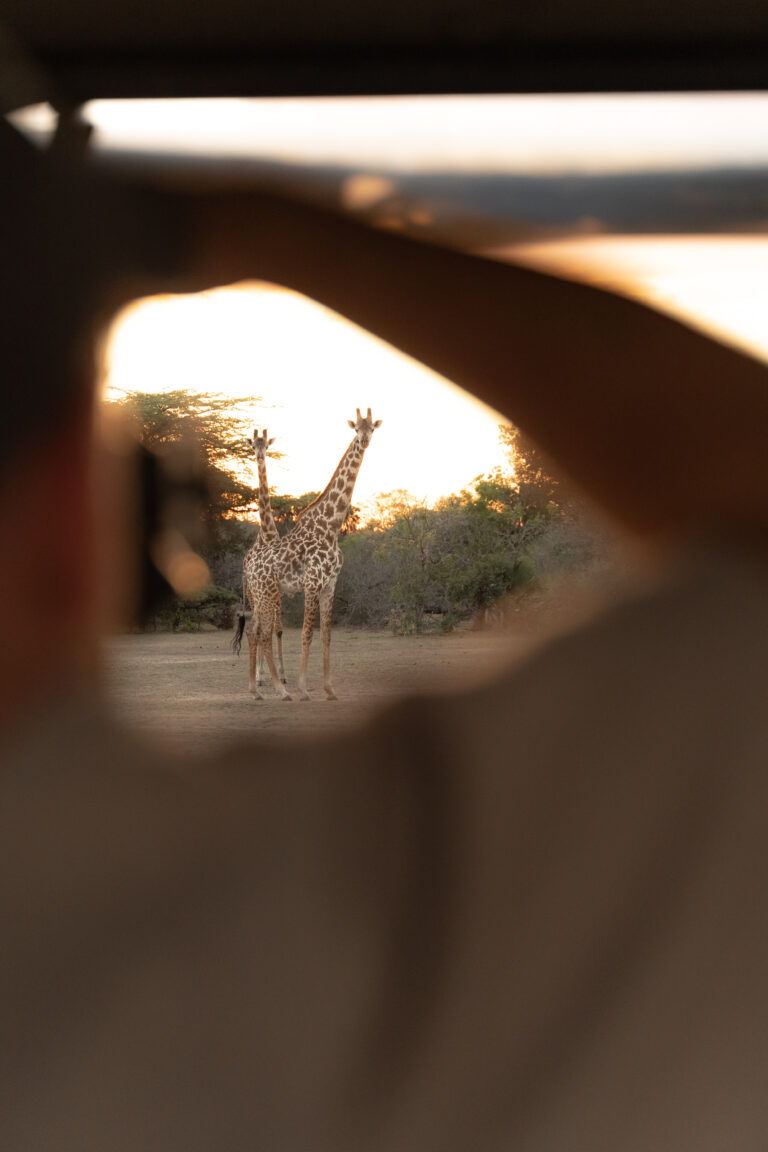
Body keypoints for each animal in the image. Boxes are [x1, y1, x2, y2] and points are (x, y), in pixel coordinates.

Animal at [240, 414, 382, 700]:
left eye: (372, 428)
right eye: (357, 428)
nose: (364, 440)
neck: (331, 527)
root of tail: (249, 567)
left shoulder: (330, 584)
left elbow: (327, 635)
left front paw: (330, 689)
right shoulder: (312, 583)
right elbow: (306, 633)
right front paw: (303, 688)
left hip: (264, 596)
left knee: (255, 631)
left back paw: (256, 689)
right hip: (265, 594)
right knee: (262, 633)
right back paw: (280, 690)